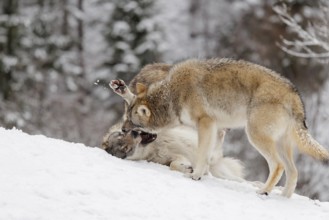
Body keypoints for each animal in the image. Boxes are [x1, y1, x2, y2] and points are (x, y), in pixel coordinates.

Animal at [102, 124, 243, 181]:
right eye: (125, 148)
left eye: (122, 133)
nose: (134, 133)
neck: (156, 146)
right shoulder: (177, 158)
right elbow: (173, 165)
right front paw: (188, 169)